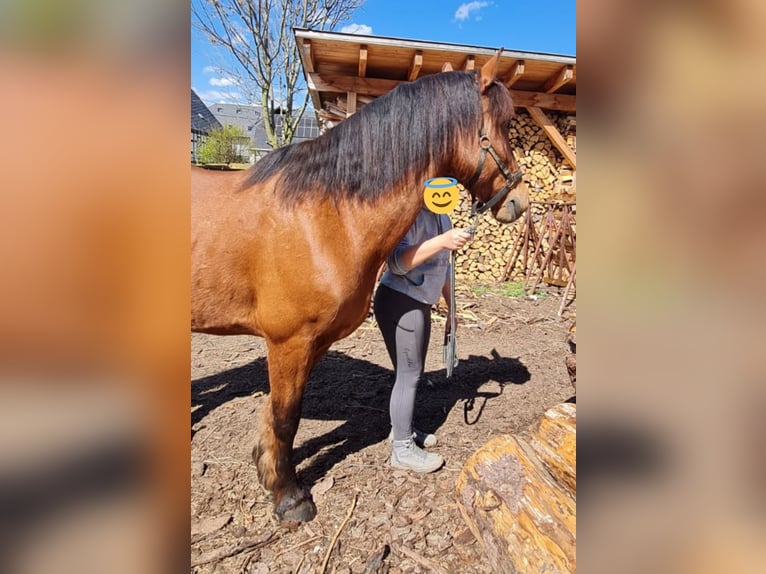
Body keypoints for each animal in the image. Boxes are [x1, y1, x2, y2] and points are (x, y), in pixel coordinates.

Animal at [190, 51, 532, 524]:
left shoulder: (310, 344)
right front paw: (289, 496)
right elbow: (285, 416)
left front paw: (266, 470)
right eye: (502, 123)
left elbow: (275, 414)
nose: (519, 202)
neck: (325, 215)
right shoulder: (288, 342)